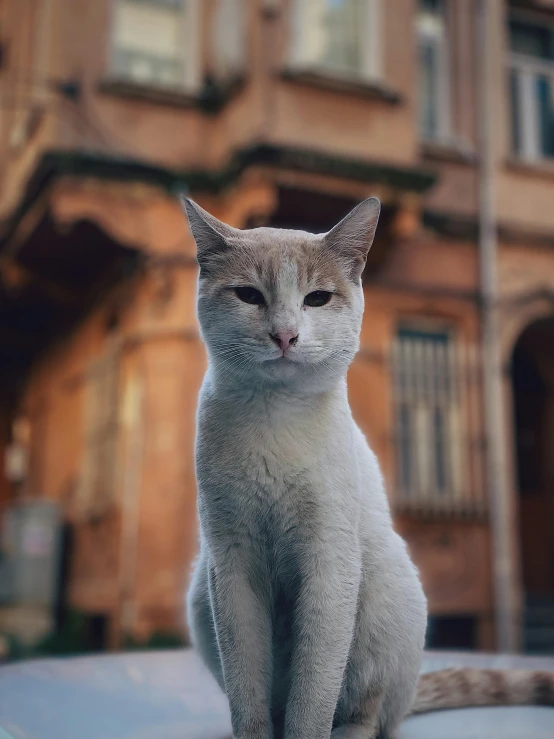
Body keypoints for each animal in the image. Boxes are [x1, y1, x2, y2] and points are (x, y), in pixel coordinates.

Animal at [182, 198, 552, 739]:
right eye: (249, 295)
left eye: (316, 299)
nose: (285, 335)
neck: (274, 417)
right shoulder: (232, 561)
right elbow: (248, 688)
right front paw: (253, 733)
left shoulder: (329, 559)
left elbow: (313, 691)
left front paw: (306, 733)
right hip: (199, 596)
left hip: (382, 593)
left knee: (369, 710)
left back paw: (350, 730)